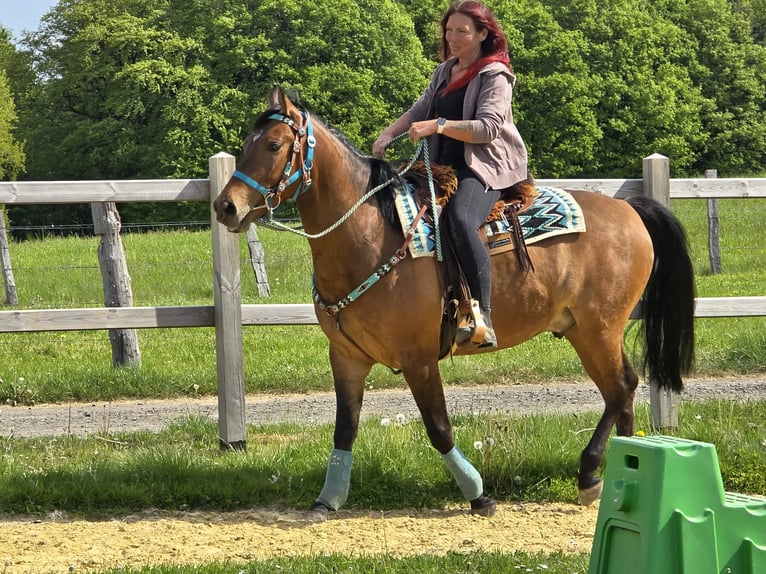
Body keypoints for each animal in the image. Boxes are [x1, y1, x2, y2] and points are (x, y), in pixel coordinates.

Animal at [213, 86, 695, 522]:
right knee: (621, 391)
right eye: (246, 145)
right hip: (583, 330)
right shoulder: (346, 356)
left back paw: (594, 473)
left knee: (622, 387)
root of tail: (630, 210)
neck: (370, 234)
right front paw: (327, 500)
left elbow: (439, 427)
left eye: (274, 145)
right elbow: (345, 428)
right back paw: (617, 473)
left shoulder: (419, 358)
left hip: (599, 329)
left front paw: (478, 493)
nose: (225, 206)